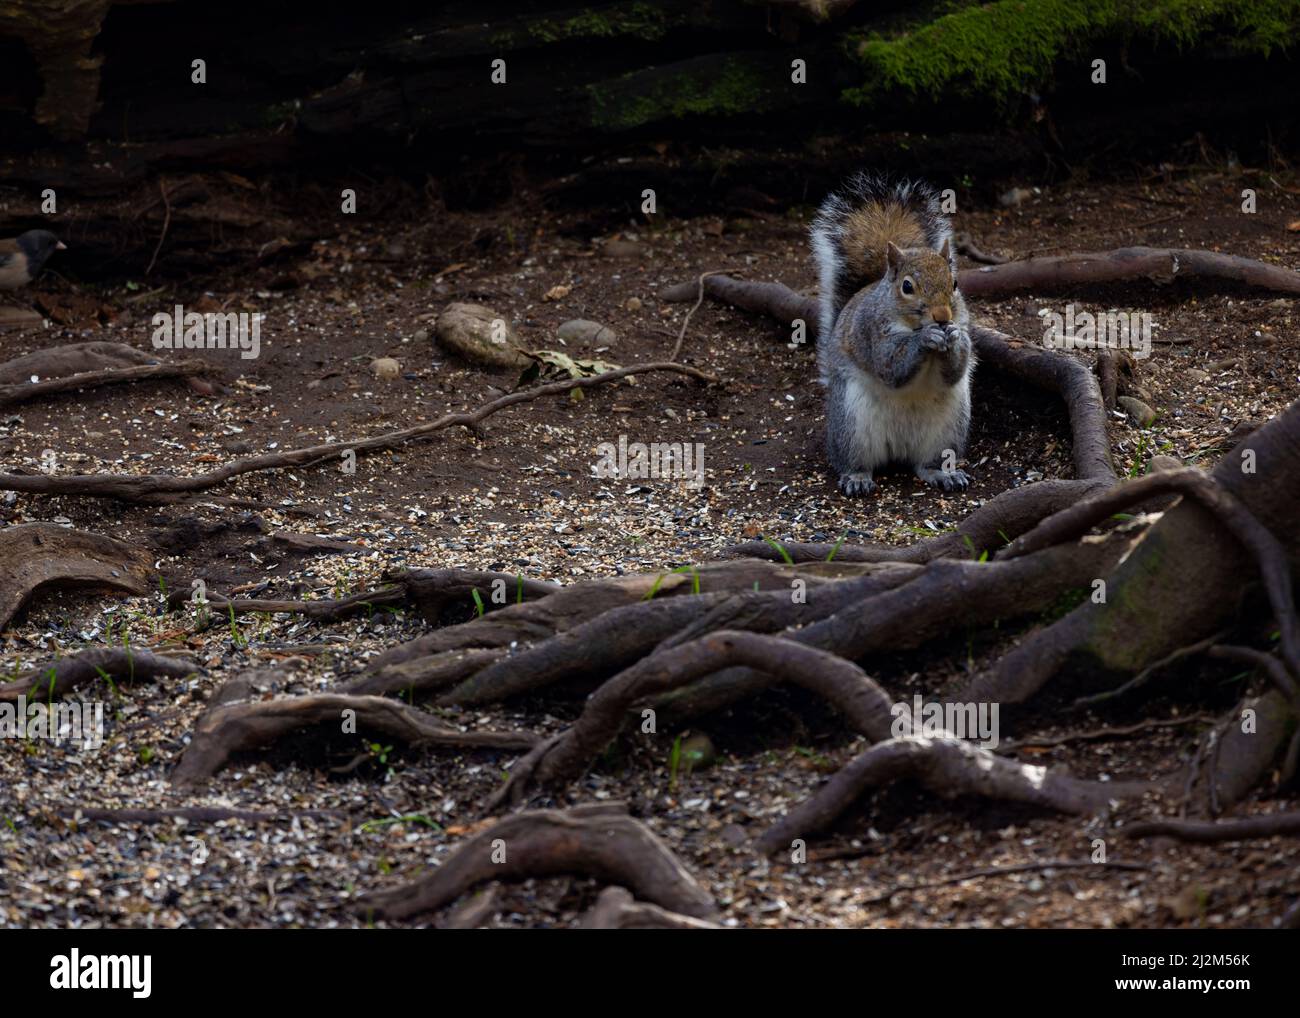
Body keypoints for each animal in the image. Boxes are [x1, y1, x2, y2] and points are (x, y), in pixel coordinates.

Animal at [811, 174, 977, 494]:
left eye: (954, 283)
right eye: (907, 287)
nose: (942, 317)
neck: (911, 325)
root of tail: (900, 448)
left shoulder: (963, 323)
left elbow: (955, 370)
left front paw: (953, 340)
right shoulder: (871, 333)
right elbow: (890, 366)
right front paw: (925, 339)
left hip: (949, 429)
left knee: (927, 463)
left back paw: (944, 474)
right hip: (851, 424)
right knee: (854, 460)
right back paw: (857, 478)